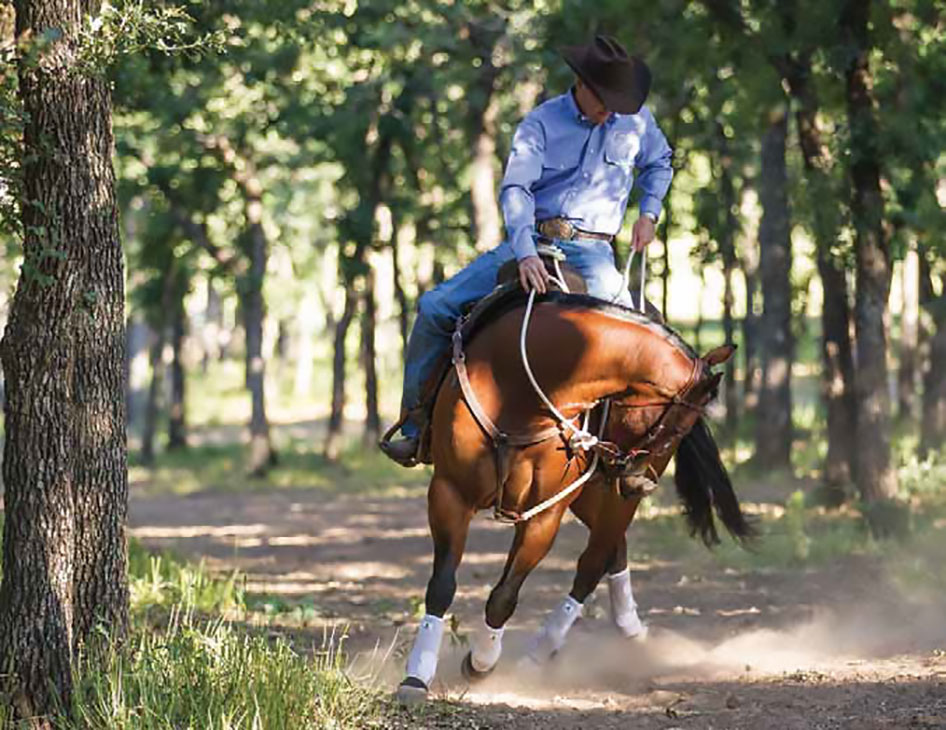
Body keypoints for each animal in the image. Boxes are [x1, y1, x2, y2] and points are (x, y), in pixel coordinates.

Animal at [396, 290, 752, 700]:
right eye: (674, 427)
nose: (640, 483)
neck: (517, 387)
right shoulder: (450, 493)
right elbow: (441, 586)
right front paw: (416, 676)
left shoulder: (545, 514)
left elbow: (504, 596)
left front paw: (482, 663)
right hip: (594, 491)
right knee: (613, 551)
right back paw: (626, 629)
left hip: (608, 498)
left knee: (594, 562)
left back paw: (549, 649)